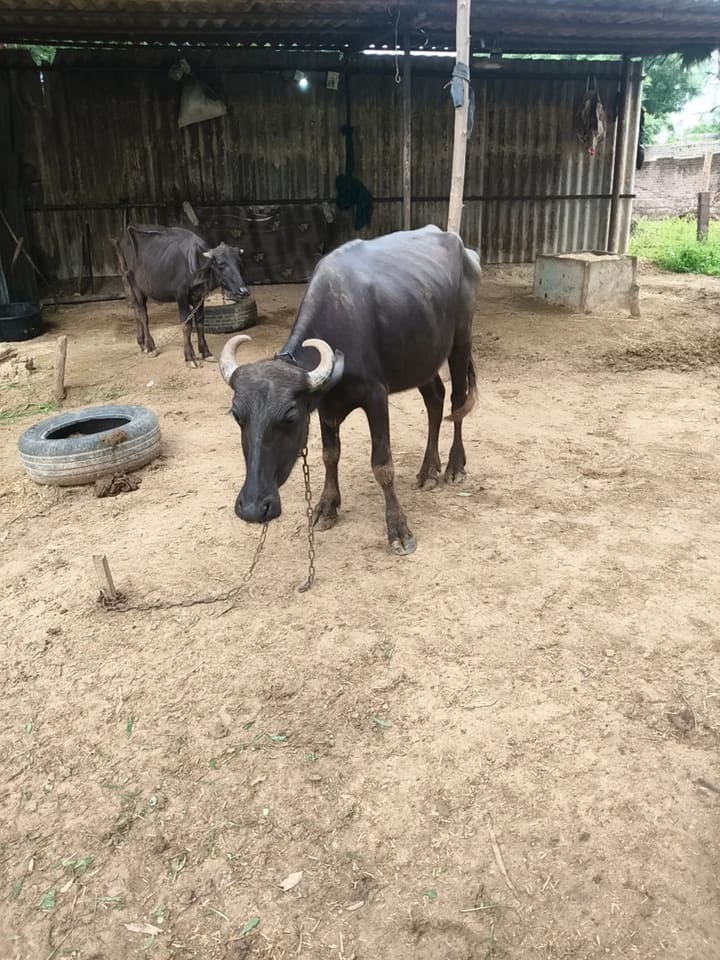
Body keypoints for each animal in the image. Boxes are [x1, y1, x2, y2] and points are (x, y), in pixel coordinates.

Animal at [114, 224, 249, 367]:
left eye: (239, 263)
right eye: (221, 264)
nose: (243, 290)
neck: (193, 264)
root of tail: (123, 238)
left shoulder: (199, 297)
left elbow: (200, 322)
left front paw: (206, 353)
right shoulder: (181, 295)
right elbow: (186, 325)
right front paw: (190, 357)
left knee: (136, 311)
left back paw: (142, 344)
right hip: (135, 285)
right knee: (142, 314)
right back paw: (150, 347)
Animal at [219, 225, 480, 555]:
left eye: (289, 417)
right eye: (237, 416)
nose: (254, 508)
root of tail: (462, 248)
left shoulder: (376, 396)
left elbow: (382, 465)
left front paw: (398, 529)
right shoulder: (325, 406)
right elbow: (330, 454)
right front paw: (326, 507)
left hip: (461, 340)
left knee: (457, 400)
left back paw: (454, 467)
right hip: (421, 357)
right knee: (435, 399)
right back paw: (427, 471)